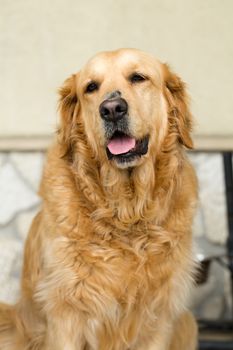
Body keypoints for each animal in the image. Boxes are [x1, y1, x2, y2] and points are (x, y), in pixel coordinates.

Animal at [0, 47, 198, 348]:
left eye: (138, 77)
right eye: (91, 87)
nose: (112, 109)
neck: (126, 211)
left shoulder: (159, 317)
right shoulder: (66, 314)